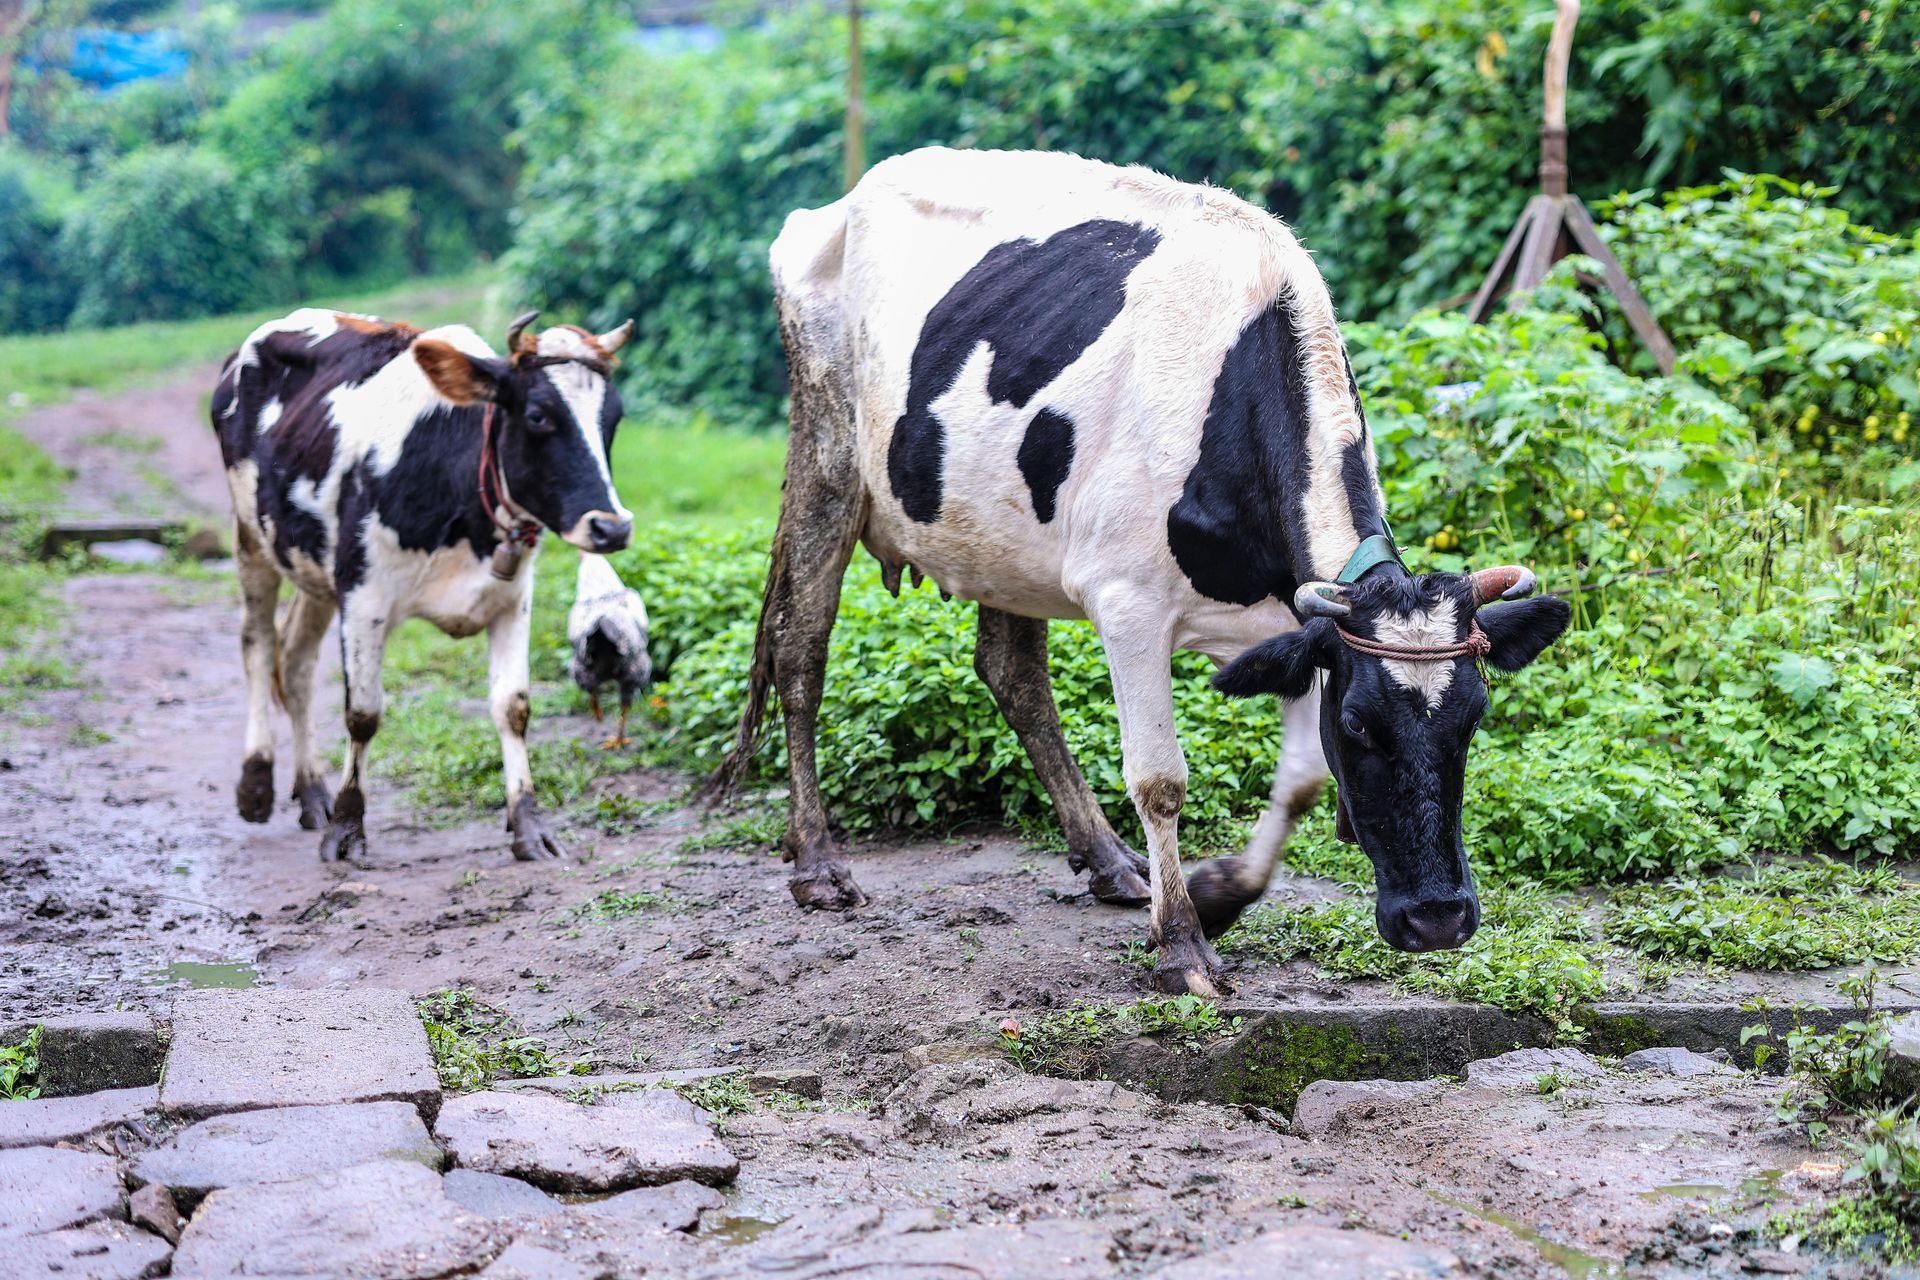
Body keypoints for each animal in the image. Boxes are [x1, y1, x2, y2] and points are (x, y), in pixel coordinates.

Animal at [211, 307, 635, 864]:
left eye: (615, 417)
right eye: (538, 415)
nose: (612, 527)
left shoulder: (512, 600)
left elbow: (514, 707)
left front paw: (529, 823)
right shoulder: (363, 597)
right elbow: (363, 714)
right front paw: (347, 828)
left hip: (311, 565)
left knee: (296, 659)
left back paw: (313, 793)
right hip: (251, 535)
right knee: (258, 643)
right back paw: (257, 783)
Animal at [707, 148, 1572, 997]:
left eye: (1475, 718)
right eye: (1362, 724)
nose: (1440, 919)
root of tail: (847, 195)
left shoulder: (1295, 628)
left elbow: (1299, 780)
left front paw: (1219, 895)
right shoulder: (1129, 606)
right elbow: (1161, 779)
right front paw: (1183, 942)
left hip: (1000, 537)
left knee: (1012, 675)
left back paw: (1107, 860)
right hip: (827, 453)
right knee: (800, 647)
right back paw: (818, 863)